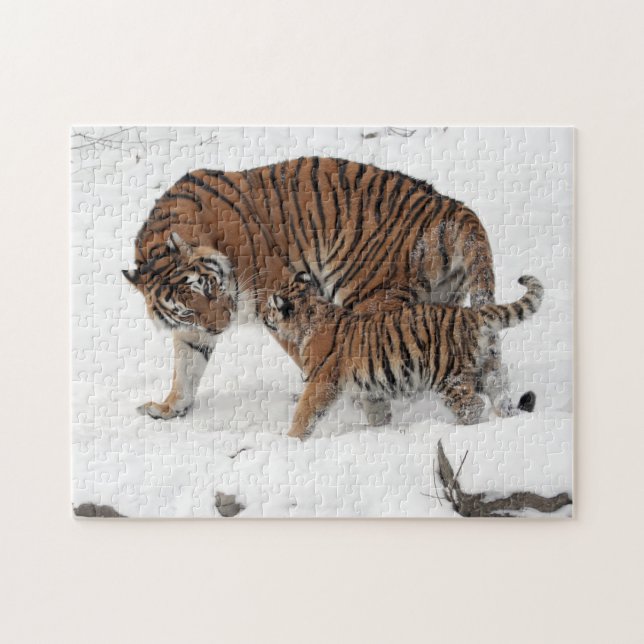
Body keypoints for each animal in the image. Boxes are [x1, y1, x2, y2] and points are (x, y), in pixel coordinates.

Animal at [122, 156, 502, 421]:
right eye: (187, 310)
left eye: (211, 288)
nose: (222, 325)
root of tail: (451, 206)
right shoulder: (193, 330)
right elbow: (186, 368)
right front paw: (170, 408)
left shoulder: (276, 293)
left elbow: (305, 350)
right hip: (440, 298)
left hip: (369, 295)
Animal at [263, 272, 543, 439]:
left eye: (270, 307)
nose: (264, 317)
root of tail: (470, 314)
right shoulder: (370, 387)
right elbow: (377, 412)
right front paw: (378, 430)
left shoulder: (321, 381)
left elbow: (305, 412)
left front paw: (292, 439)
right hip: (487, 368)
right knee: (501, 395)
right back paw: (507, 418)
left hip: (448, 376)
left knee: (472, 406)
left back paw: (455, 429)